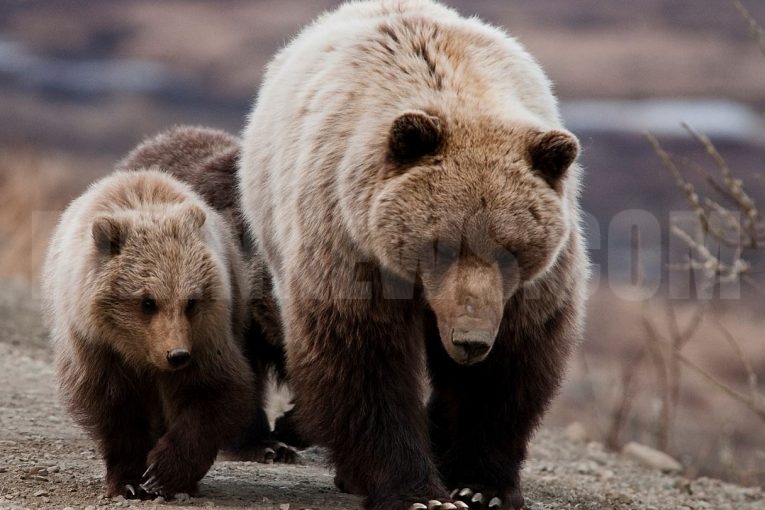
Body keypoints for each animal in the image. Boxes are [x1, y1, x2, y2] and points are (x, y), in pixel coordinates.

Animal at [46, 169, 256, 496]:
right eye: (147, 301)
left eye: (191, 301)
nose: (177, 355)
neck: (139, 351)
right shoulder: (97, 347)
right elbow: (114, 408)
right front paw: (130, 480)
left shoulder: (206, 336)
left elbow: (210, 391)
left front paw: (164, 473)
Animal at [239, 1, 584, 508]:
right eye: (441, 245)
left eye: (511, 250)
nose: (470, 340)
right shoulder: (350, 243)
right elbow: (364, 363)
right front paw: (418, 492)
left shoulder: (530, 286)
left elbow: (509, 368)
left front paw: (480, 485)